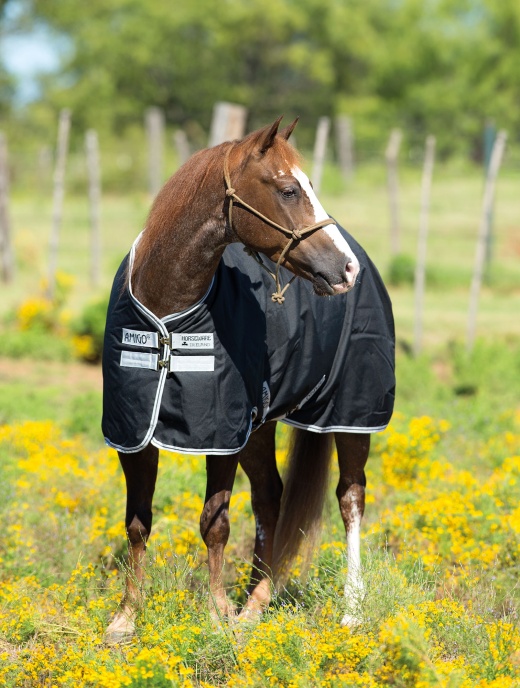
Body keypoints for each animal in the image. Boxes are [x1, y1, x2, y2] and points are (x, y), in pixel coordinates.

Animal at [102, 116, 395, 643]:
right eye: (288, 189)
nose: (346, 268)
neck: (167, 315)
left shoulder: (219, 437)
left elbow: (214, 522)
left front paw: (217, 615)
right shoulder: (134, 434)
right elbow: (137, 522)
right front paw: (125, 618)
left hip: (351, 415)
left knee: (351, 497)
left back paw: (351, 609)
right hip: (259, 426)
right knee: (270, 498)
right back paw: (255, 604)